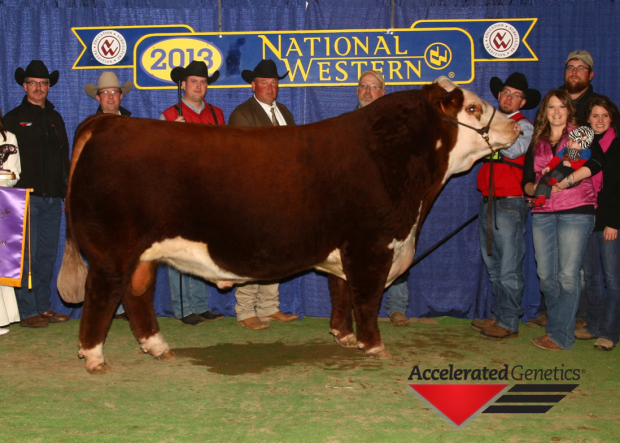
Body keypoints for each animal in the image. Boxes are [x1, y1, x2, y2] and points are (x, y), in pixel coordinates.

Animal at [59, 77, 524, 374]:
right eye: (473, 108)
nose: (514, 126)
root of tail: (109, 120)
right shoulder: (370, 245)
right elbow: (366, 298)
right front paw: (374, 346)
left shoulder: (345, 248)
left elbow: (341, 293)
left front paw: (344, 336)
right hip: (112, 250)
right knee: (103, 294)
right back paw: (95, 357)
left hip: (143, 254)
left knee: (137, 295)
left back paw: (158, 348)